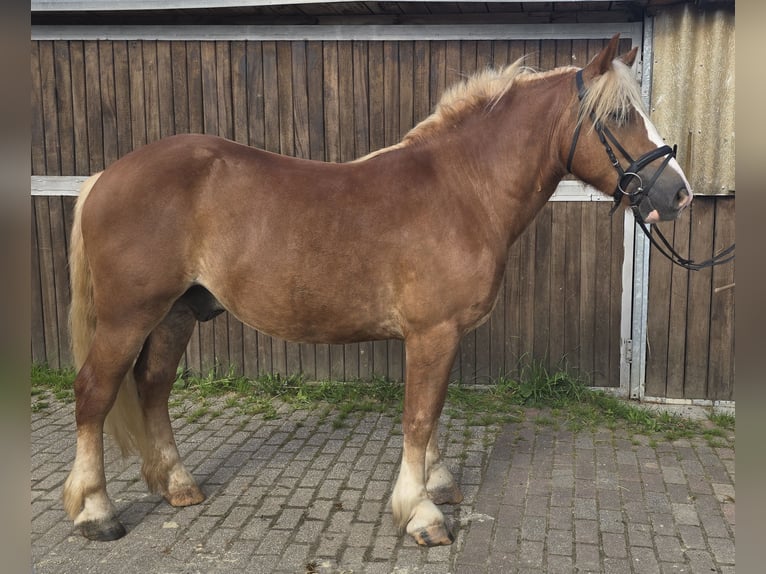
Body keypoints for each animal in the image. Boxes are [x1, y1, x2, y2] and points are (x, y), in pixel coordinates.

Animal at [63, 36, 692, 548]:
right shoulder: (432, 333)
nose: (680, 194)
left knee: (153, 387)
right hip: (127, 318)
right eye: (619, 115)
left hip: (176, 314)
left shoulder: (440, 335)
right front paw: (421, 513)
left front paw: (437, 484)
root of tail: (105, 176)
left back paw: (177, 484)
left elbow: (432, 412)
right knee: (95, 393)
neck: (462, 189)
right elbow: (419, 416)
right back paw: (96, 512)